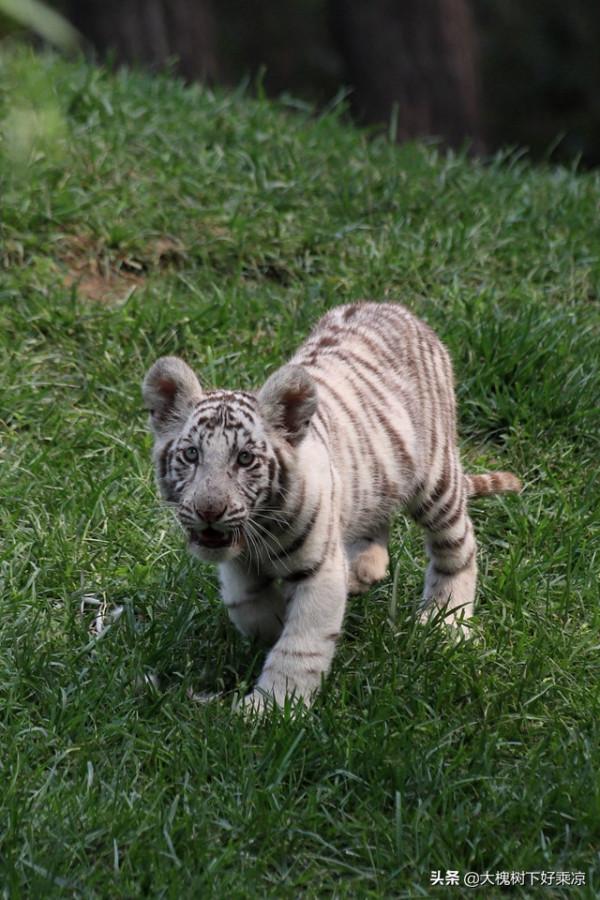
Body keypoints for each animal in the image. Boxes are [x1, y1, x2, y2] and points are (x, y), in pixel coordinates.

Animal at [142, 302, 521, 712]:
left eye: (244, 459)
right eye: (191, 455)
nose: (209, 510)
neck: (261, 532)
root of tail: (396, 308)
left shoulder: (318, 570)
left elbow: (300, 646)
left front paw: (272, 709)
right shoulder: (239, 565)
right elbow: (245, 603)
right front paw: (275, 624)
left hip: (435, 479)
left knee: (458, 545)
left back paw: (446, 621)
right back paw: (364, 569)